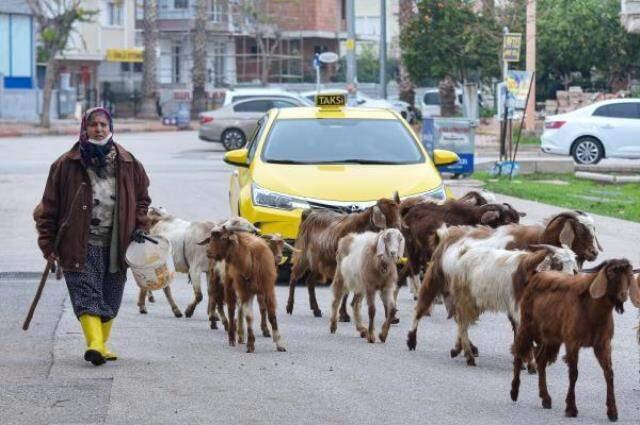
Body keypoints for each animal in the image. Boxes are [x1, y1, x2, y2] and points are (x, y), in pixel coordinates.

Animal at [410, 224, 580, 366]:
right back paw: (413, 340)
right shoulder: (516, 305)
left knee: (459, 318)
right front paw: (528, 361)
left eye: (574, 267)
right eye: (558, 263)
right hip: (437, 280)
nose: (568, 282)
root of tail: (447, 235)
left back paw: (462, 349)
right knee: (423, 308)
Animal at [510, 258, 640, 420]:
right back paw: (514, 392)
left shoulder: (603, 344)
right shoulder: (572, 342)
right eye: (611, 273)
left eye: (628, 275)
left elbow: (609, 373)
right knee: (518, 352)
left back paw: (545, 398)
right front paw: (571, 408)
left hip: (551, 337)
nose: (623, 296)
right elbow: (573, 374)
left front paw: (613, 412)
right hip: (528, 326)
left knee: (541, 359)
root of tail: (536, 275)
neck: (591, 309)